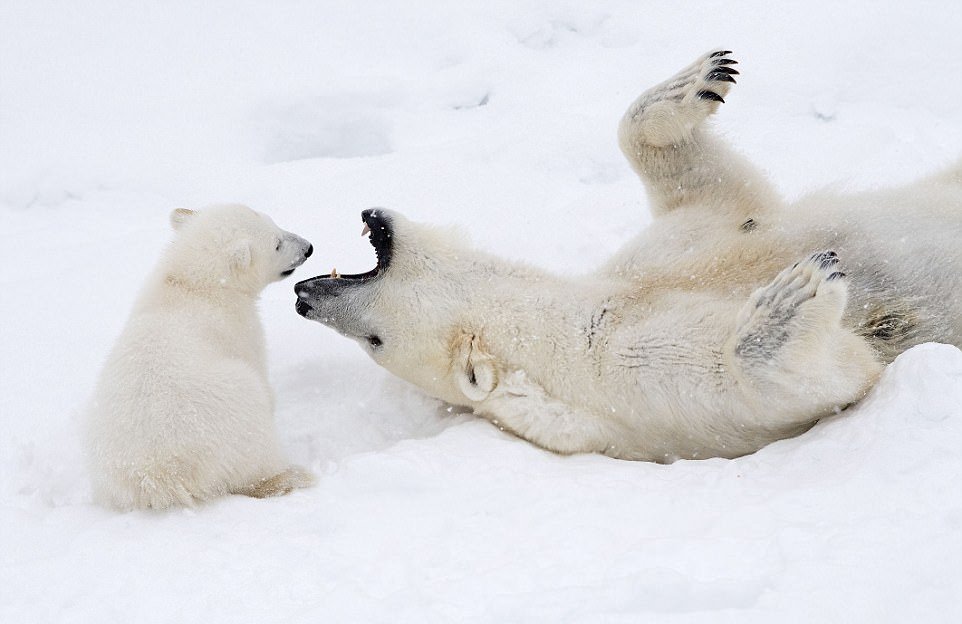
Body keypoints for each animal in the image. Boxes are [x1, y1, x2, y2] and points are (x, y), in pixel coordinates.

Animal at [84, 204, 314, 508]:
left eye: (275, 223)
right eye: (277, 244)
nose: (308, 247)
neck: (192, 285)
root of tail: (157, 474)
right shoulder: (240, 328)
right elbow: (259, 369)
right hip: (232, 409)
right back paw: (292, 475)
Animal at [292, 50, 960, 464]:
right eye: (376, 343)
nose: (302, 296)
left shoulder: (670, 250)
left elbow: (725, 195)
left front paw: (700, 80)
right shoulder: (628, 372)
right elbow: (832, 372)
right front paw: (795, 293)